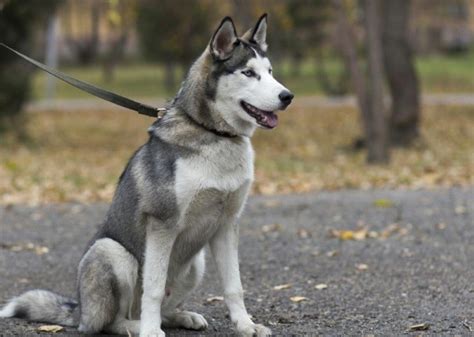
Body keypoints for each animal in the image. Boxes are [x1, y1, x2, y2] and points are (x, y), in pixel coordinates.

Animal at [0, 14, 292, 334]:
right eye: (248, 73)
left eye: (269, 72)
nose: (287, 96)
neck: (213, 134)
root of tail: (80, 310)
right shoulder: (162, 224)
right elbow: (153, 287)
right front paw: (151, 331)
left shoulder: (226, 224)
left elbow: (234, 286)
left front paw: (246, 326)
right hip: (113, 253)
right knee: (112, 321)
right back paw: (139, 325)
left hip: (196, 264)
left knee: (165, 308)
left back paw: (181, 317)